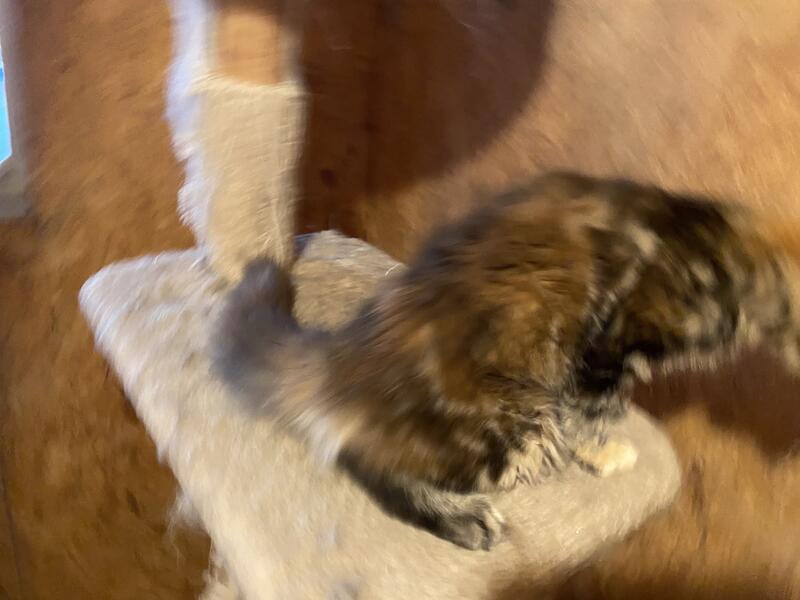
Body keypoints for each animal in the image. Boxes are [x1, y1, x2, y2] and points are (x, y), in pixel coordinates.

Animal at [212, 171, 800, 551]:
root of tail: (344, 360)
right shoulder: (611, 344)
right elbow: (594, 411)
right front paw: (604, 452)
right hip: (517, 418)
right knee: (370, 461)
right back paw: (464, 520)